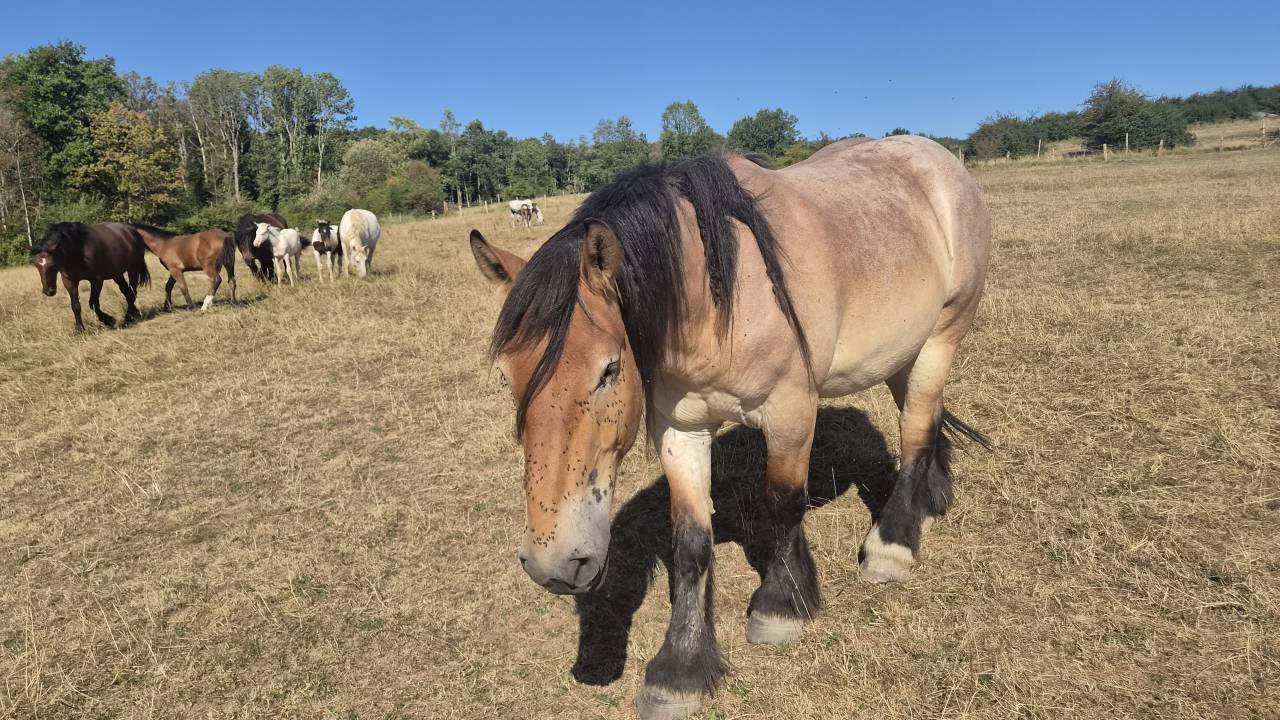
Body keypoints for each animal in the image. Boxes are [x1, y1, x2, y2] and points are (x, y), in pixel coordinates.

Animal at [468, 136, 991, 719]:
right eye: (506, 376)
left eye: (609, 369)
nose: (554, 563)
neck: (721, 298)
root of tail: (938, 159)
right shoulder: (680, 429)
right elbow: (691, 541)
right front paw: (681, 669)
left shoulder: (791, 410)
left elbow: (783, 502)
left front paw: (781, 606)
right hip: (906, 349)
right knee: (924, 419)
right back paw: (933, 496)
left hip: (943, 334)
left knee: (916, 428)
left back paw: (892, 546)